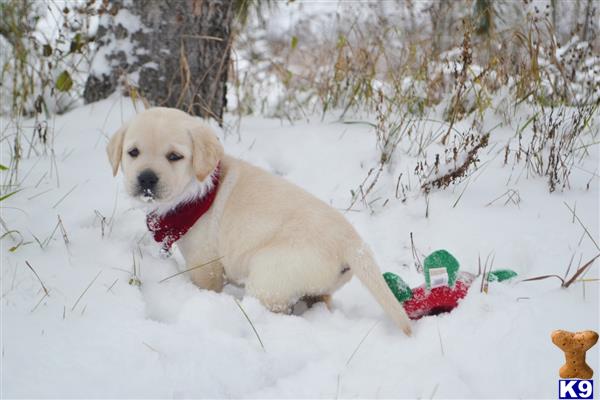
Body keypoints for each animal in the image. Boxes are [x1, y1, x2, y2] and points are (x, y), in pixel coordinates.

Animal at [105, 106, 410, 334]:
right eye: (133, 152)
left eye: (174, 156)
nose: (146, 178)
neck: (196, 191)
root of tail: (354, 243)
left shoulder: (205, 263)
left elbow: (204, 284)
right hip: (315, 285)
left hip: (270, 278)